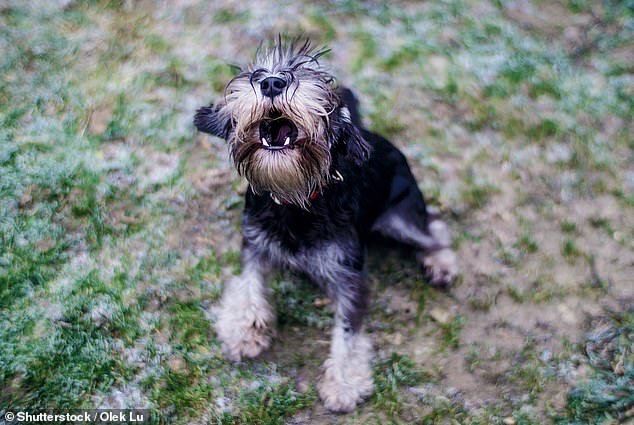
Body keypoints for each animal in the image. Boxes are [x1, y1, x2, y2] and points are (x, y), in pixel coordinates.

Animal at [193, 39, 454, 410]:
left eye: (313, 76)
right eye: (256, 72)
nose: (272, 82)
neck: (296, 201)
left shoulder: (350, 276)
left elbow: (348, 334)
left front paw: (343, 385)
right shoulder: (255, 244)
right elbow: (248, 288)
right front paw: (242, 334)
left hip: (400, 218)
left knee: (434, 227)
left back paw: (441, 264)